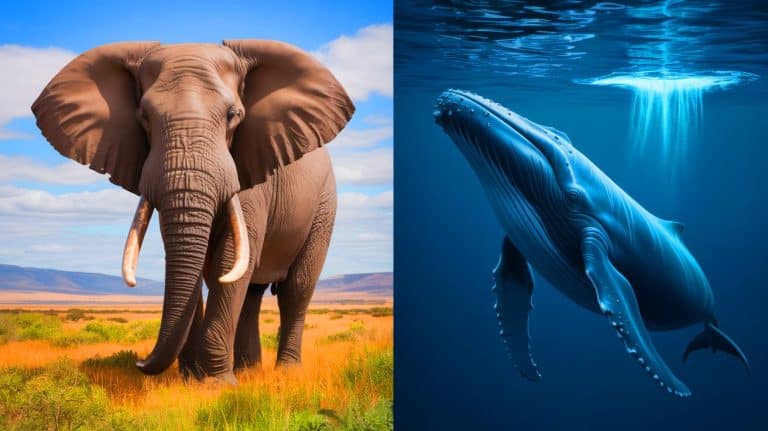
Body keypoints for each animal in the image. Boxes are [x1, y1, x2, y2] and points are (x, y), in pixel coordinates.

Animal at [31, 40, 354, 383]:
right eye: (144, 117)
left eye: (232, 116)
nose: (139, 362)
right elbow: (196, 263)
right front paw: (191, 380)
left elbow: (229, 259)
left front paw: (216, 384)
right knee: (252, 293)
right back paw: (248, 371)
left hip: (325, 205)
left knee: (296, 289)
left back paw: (286, 374)